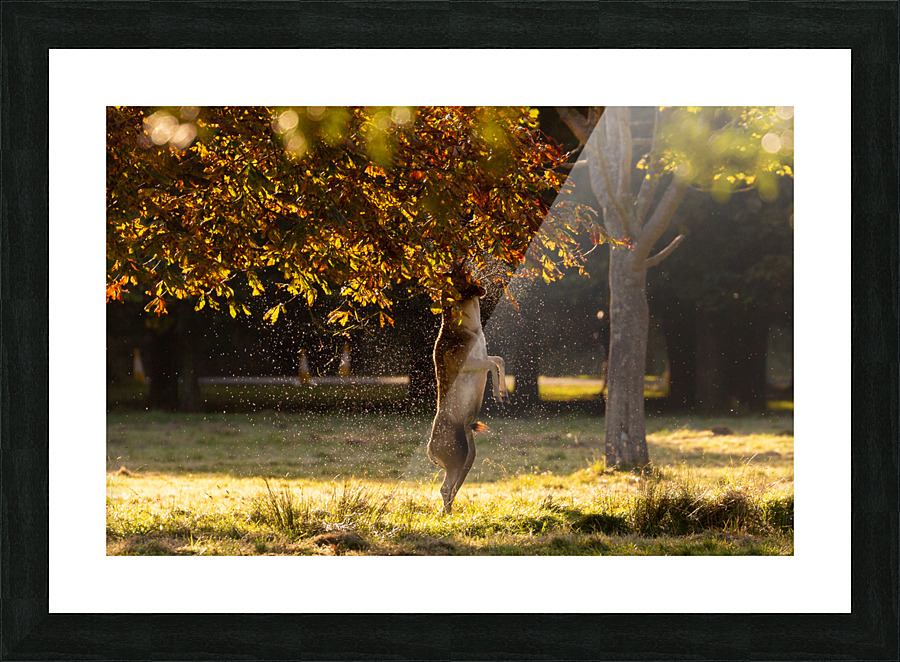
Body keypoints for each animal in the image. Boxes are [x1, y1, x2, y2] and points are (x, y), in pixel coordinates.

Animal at [427, 269, 510, 514]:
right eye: (457, 278)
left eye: (468, 273)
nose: (482, 287)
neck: (471, 330)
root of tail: (430, 451)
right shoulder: (468, 362)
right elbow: (492, 365)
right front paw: (498, 398)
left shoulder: (484, 354)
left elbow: (499, 360)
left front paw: (506, 394)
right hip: (457, 456)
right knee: (445, 488)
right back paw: (446, 515)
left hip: (468, 457)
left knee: (453, 488)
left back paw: (449, 512)